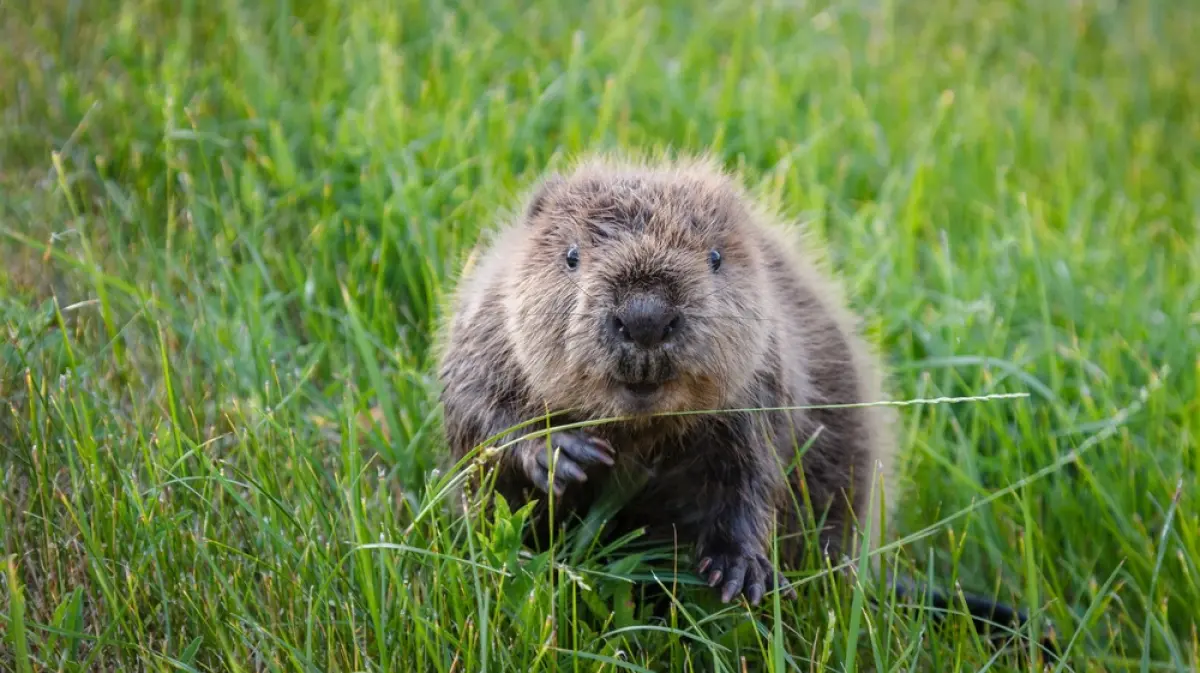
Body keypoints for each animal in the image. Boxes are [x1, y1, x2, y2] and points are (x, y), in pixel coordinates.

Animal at [434, 153, 1051, 647]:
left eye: (714, 257)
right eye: (570, 255)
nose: (646, 319)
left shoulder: (765, 379)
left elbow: (753, 471)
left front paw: (740, 571)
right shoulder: (486, 329)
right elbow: (476, 413)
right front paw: (563, 452)